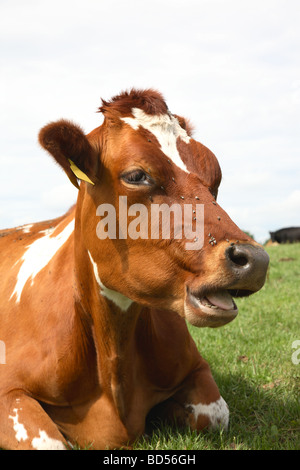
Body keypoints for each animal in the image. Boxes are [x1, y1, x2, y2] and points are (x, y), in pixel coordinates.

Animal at [0, 90, 268, 450]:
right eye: (137, 176)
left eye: (216, 178)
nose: (255, 259)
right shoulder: (8, 390)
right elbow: (52, 443)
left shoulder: (196, 367)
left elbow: (213, 415)